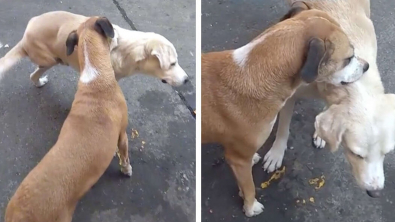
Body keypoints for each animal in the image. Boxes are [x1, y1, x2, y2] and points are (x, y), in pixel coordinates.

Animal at [203, 3, 370, 219]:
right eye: (348, 58)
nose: (366, 66)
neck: (255, 71)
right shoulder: (238, 159)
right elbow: (249, 187)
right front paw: (251, 207)